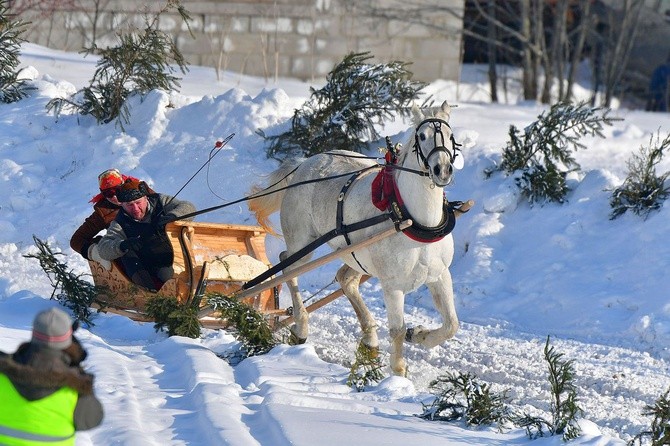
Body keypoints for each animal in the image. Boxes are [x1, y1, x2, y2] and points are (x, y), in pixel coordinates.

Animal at [249, 101, 464, 376]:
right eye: (423, 136)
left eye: (450, 136)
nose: (442, 170)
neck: (414, 219)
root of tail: (304, 164)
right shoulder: (392, 285)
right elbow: (397, 330)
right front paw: (399, 372)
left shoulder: (439, 275)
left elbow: (451, 325)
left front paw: (419, 335)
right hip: (302, 242)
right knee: (288, 266)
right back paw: (301, 326)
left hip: (353, 253)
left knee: (345, 279)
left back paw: (369, 338)